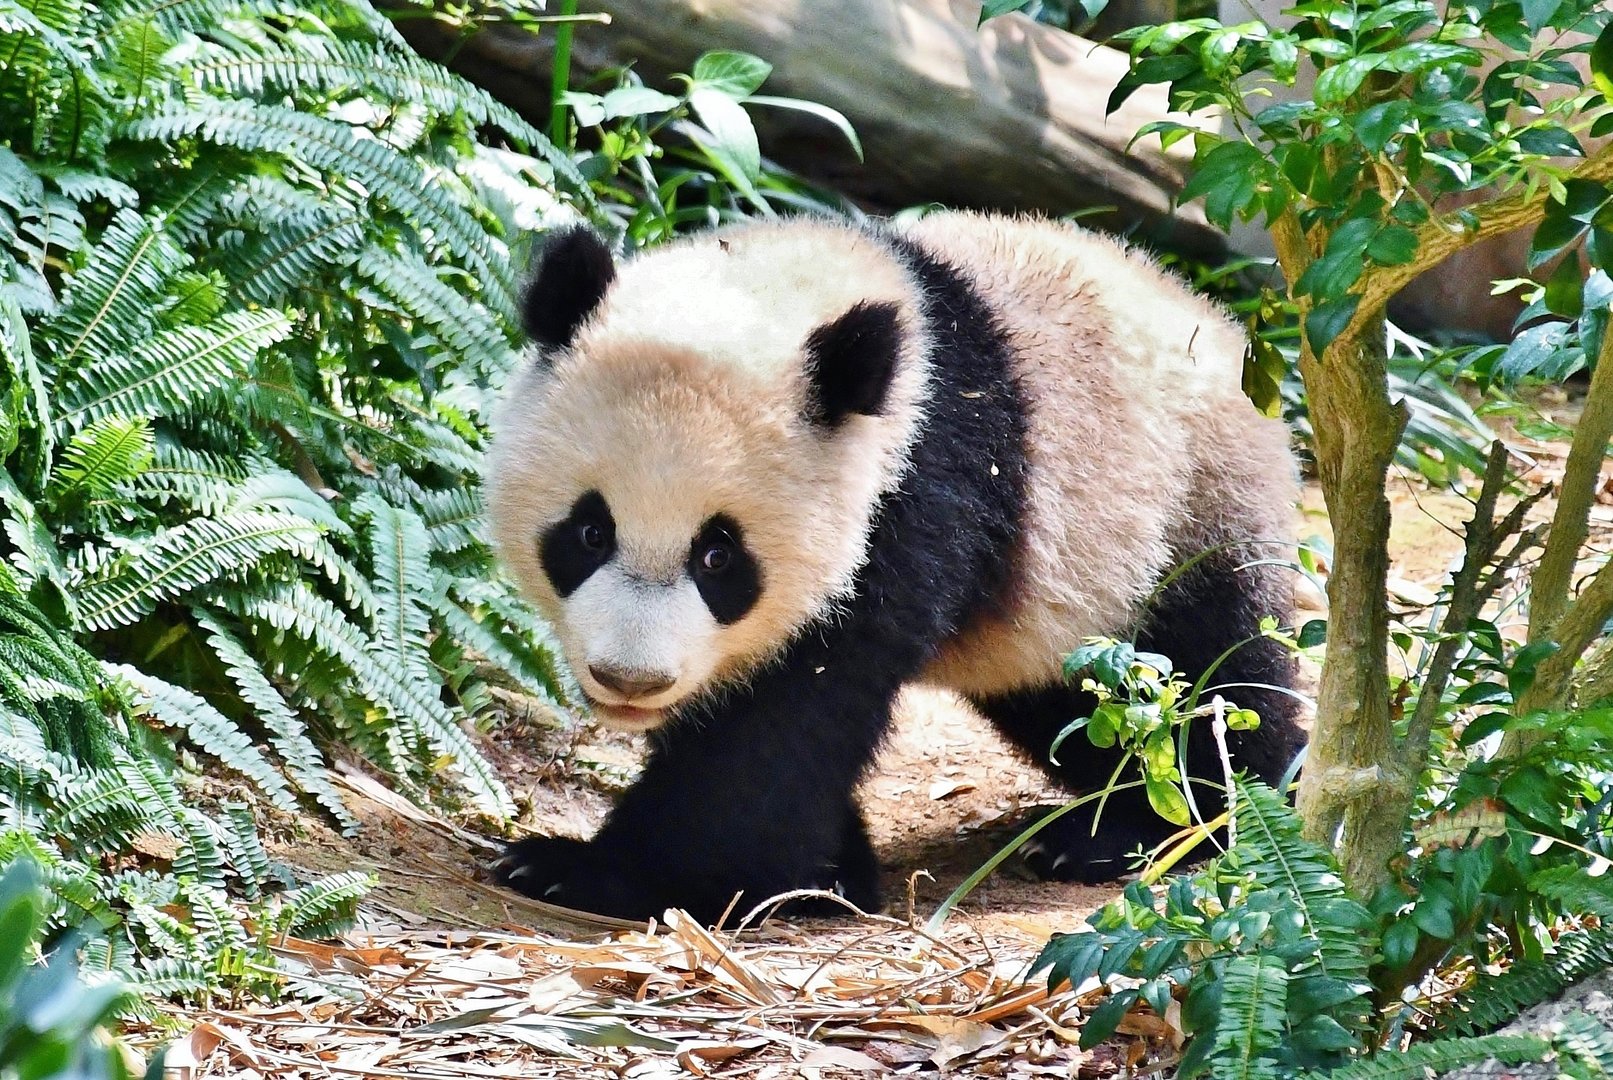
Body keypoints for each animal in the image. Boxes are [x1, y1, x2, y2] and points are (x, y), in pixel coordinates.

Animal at [487, 211, 1306, 923]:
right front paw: (832, 871)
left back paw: (1171, 824)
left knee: (1205, 676)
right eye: (590, 533)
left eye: (718, 557)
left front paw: (590, 870)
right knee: (1067, 699)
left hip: (1182, 512)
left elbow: (783, 726)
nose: (630, 681)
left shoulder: (909, 504)